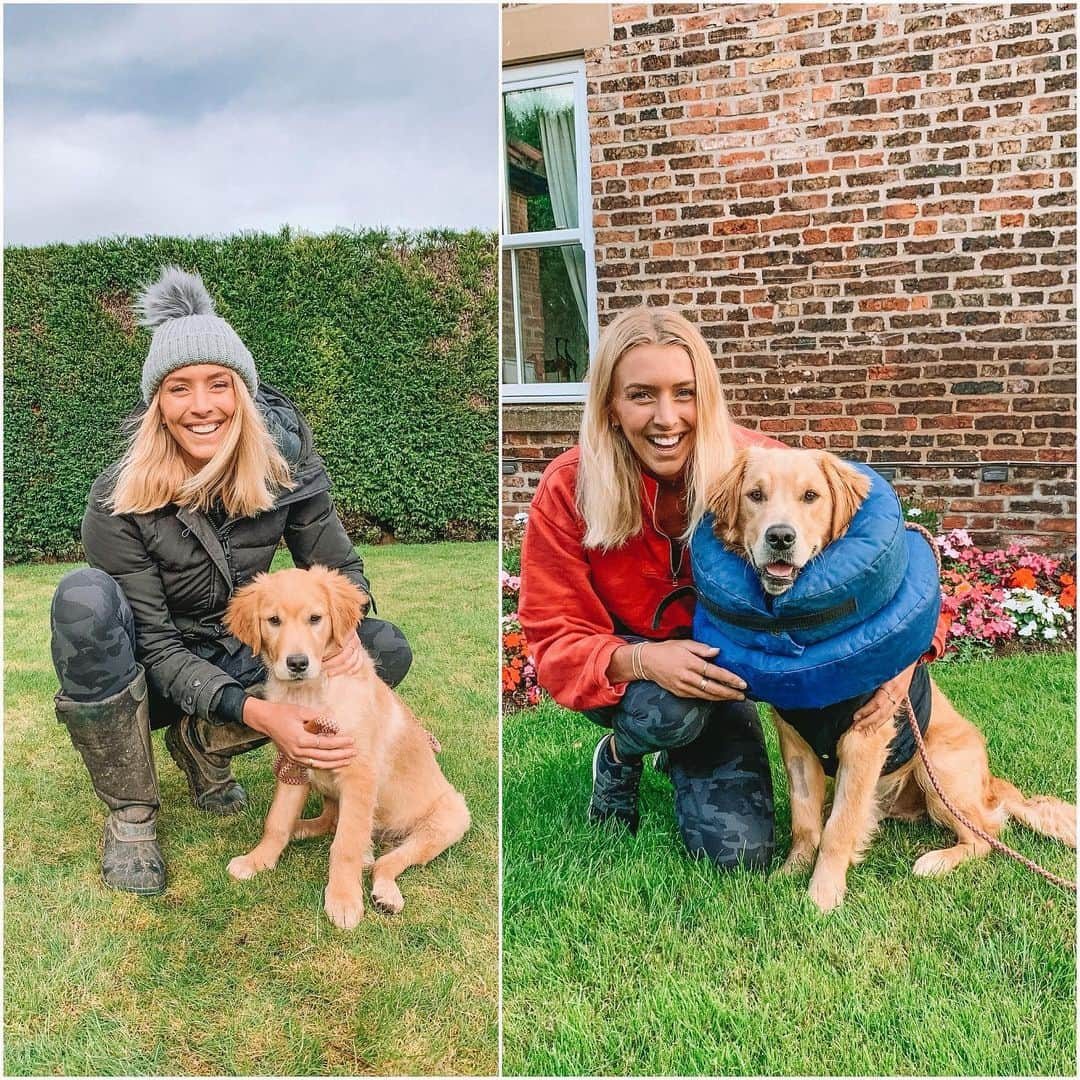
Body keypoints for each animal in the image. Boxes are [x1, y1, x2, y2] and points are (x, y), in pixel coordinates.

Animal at [222, 565, 468, 928]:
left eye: (315, 618)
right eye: (274, 620)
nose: (297, 663)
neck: (312, 694)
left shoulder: (358, 775)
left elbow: (345, 845)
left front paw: (342, 899)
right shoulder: (294, 761)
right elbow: (276, 821)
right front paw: (258, 860)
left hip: (447, 820)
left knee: (386, 860)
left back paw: (385, 891)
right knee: (330, 821)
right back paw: (302, 828)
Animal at [708, 447, 1071, 911]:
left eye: (810, 496)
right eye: (755, 495)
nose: (780, 538)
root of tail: (991, 785)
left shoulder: (864, 740)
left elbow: (838, 828)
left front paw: (822, 896)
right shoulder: (796, 742)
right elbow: (806, 821)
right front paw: (788, 874)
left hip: (938, 770)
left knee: (987, 833)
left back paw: (936, 861)